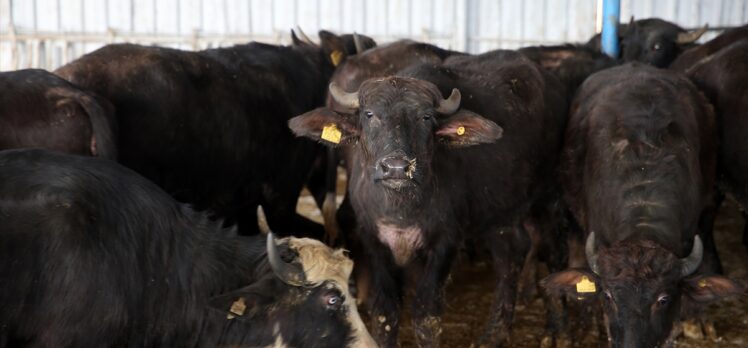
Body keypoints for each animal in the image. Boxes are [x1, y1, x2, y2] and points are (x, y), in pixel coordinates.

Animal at [292, 48, 568, 346]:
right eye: (369, 114)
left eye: (425, 117)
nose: (397, 167)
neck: (401, 208)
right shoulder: (373, 240)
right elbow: (385, 312)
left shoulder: (445, 241)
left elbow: (426, 315)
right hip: (498, 211)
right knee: (511, 253)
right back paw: (493, 334)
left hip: (547, 199)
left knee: (554, 251)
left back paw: (557, 331)